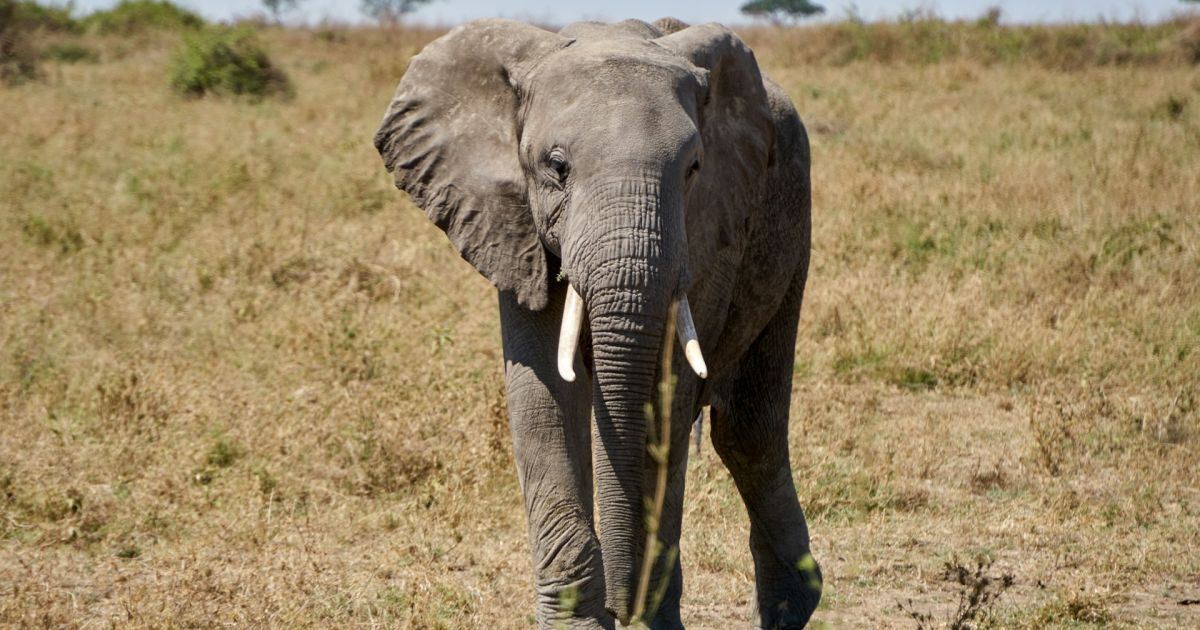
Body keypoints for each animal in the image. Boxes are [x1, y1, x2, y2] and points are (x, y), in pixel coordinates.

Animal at [374, 17, 820, 629]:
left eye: (694, 169)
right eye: (557, 167)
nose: (620, 607)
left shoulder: (708, 230)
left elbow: (666, 398)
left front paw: (649, 615)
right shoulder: (513, 226)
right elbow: (543, 400)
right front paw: (581, 621)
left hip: (792, 220)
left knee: (749, 430)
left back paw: (791, 609)